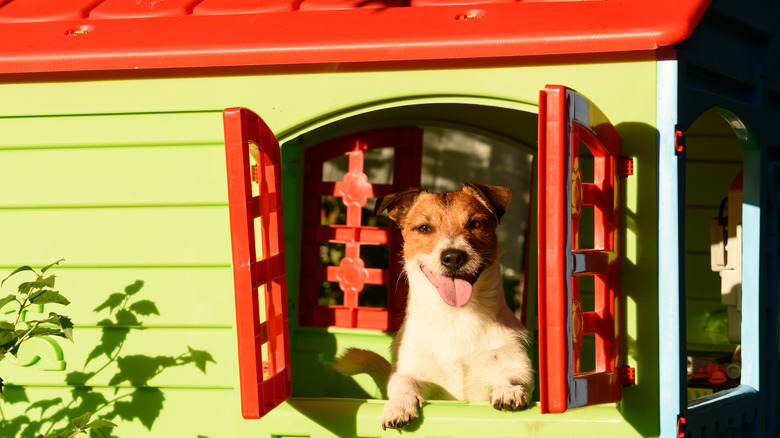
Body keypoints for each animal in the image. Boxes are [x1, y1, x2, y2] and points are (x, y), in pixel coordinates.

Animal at [332, 182, 532, 432]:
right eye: (424, 228)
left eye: (476, 224)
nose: (453, 256)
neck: (455, 316)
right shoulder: (413, 369)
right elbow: (401, 381)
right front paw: (398, 406)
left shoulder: (514, 362)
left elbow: (514, 375)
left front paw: (509, 390)